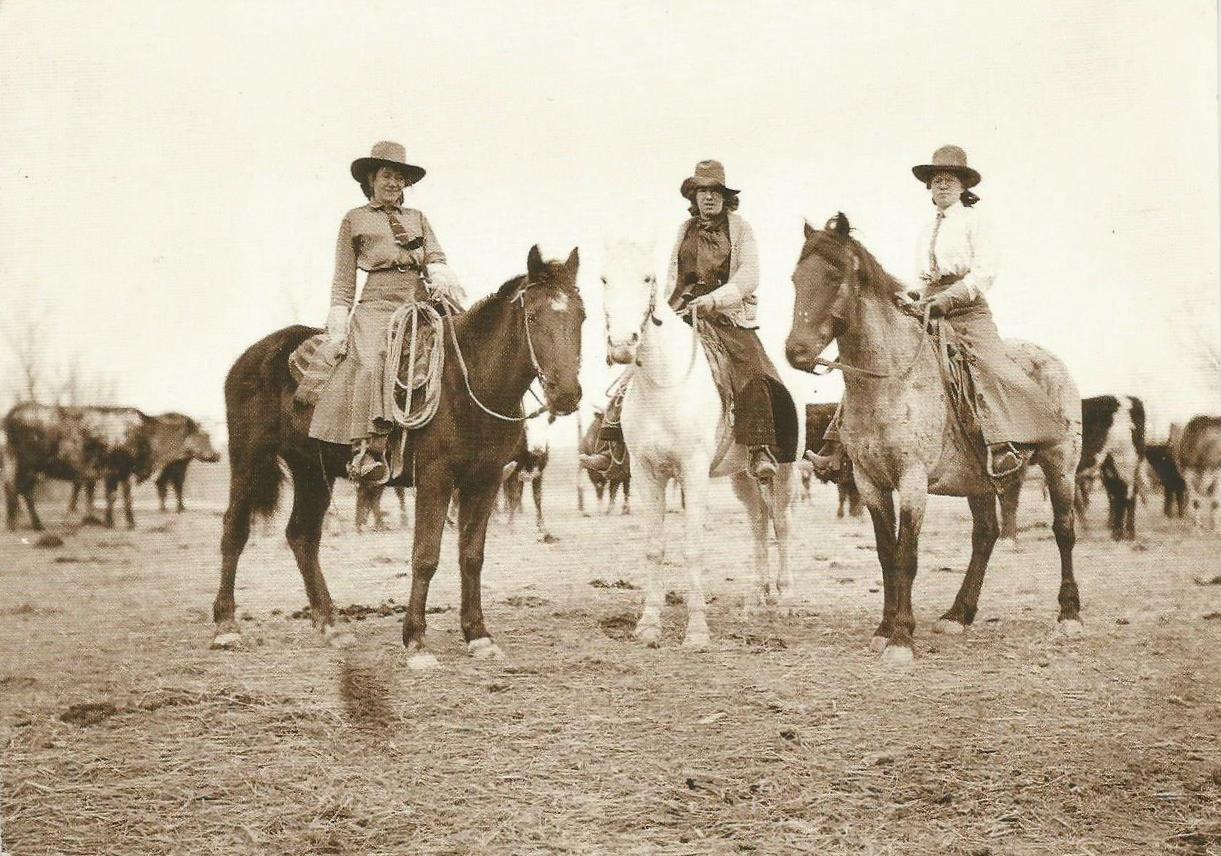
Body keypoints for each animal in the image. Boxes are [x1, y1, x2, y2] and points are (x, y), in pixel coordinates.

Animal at [4, 400, 218, 527]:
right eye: (204, 435)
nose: (217, 455)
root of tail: (12, 414)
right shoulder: (122, 469)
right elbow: (125, 496)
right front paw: (130, 523)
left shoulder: (112, 473)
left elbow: (111, 496)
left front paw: (109, 521)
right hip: (28, 464)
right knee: (22, 491)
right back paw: (33, 524)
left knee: (15, 490)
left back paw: (17, 523)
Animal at [500, 407, 559, 539]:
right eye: (526, 427)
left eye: (547, 423)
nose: (538, 448)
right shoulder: (513, 472)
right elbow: (513, 497)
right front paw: (510, 526)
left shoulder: (539, 474)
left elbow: (537, 498)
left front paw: (542, 527)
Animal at [603, 241, 800, 649]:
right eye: (603, 279)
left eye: (646, 277)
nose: (622, 346)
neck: (665, 382)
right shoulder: (646, 473)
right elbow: (654, 548)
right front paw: (649, 624)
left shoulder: (692, 471)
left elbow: (692, 548)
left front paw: (696, 630)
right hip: (743, 477)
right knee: (758, 524)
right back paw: (755, 600)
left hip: (785, 474)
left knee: (782, 524)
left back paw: (786, 599)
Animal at [786, 217, 1084, 664]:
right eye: (795, 278)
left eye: (834, 275)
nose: (796, 352)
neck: (890, 381)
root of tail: (1054, 363)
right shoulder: (869, 482)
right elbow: (886, 554)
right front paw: (884, 629)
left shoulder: (912, 480)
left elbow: (907, 555)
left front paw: (901, 638)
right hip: (981, 481)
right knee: (985, 535)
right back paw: (958, 614)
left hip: (1060, 465)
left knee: (1063, 530)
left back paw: (1069, 615)